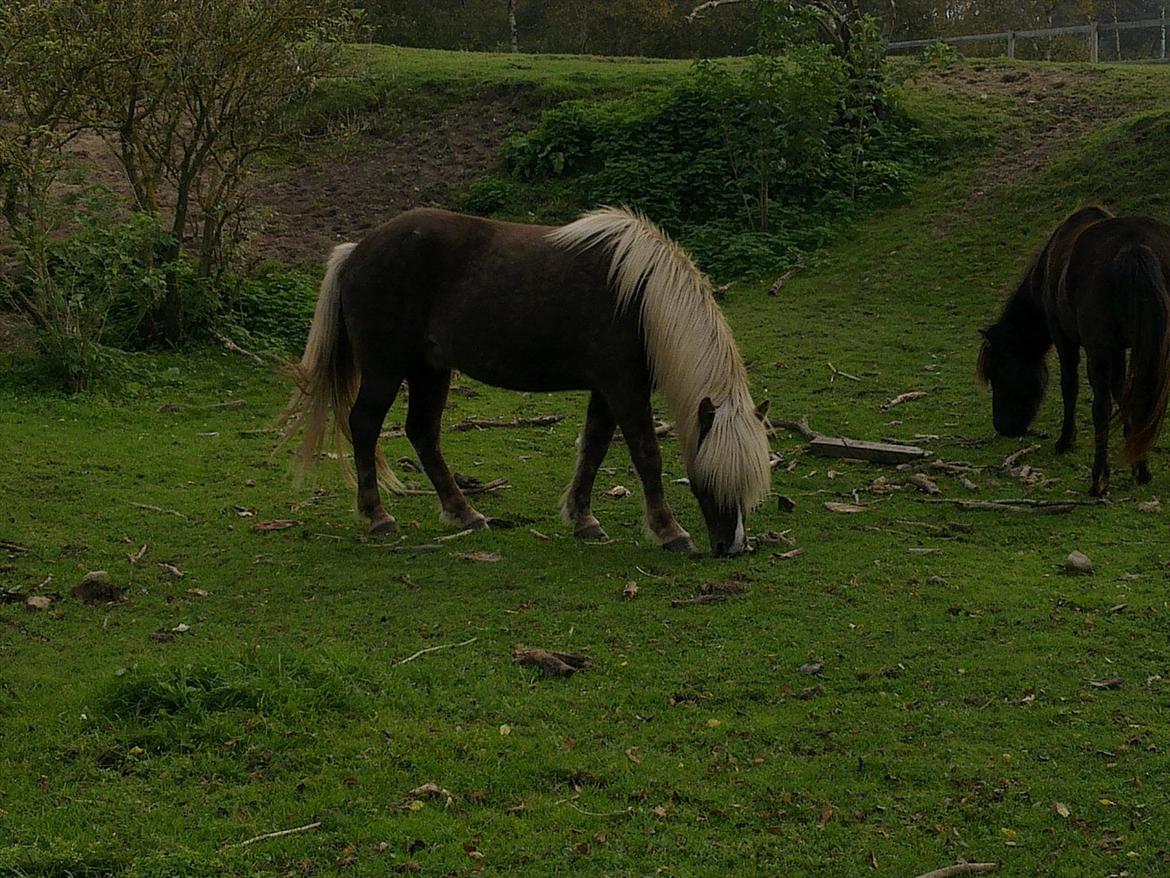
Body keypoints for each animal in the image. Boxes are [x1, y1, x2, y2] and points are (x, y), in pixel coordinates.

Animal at [278, 208, 772, 557]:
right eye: (712, 477)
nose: (733, 547)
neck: (639, 296)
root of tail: (355, 251)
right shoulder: (624, 387)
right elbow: (647, 455)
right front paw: (669, 531)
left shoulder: (606, 389)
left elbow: (594, 449)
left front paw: (583, 520)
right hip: (386, 369)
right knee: (364, 426)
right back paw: (377, 517)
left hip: (429, 370)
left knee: (423, 433)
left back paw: (465, 513)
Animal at [978, 204, 1170, 496]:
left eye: (999, 371)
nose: (1002, 427)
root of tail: (1135, 246)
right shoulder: (1119, 349)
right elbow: (1124, 394)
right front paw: (1140, 466)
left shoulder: (1065, 338)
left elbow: (1070, 387)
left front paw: (1066, 441)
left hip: (1097, 349)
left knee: (1100, 408)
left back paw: (1098, 479)